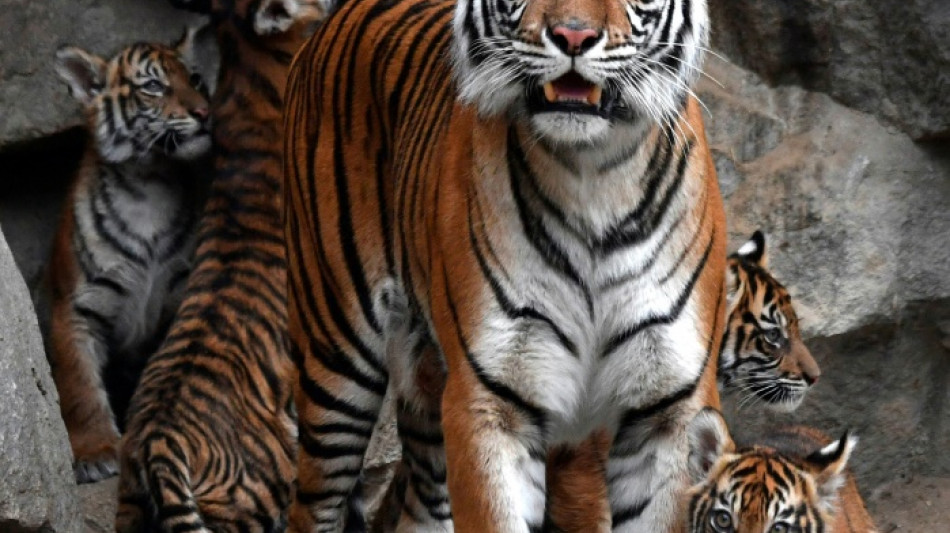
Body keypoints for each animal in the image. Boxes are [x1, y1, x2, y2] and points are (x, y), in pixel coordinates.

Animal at [48, 31, 211, 484]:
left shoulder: (179, 301)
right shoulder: (74, 309)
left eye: (195, 78)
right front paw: (96, 452)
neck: (150, 183)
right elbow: (80, 388)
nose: (204, 112)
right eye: (154, 86)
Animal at [283, 0, 728, 531]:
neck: (593, 177)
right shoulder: (489, 401)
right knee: (313, 506)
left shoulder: (667, 412)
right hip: (336, 362)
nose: (572, 36)